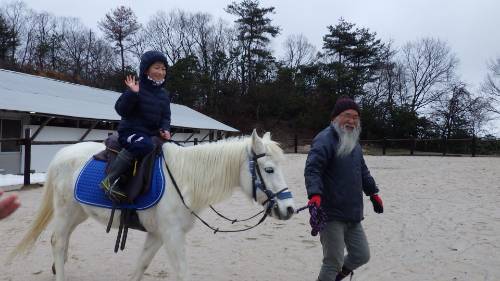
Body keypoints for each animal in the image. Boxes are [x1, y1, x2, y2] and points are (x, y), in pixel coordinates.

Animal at [9, 131, 294, 280]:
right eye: (269, 169)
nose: (290, 209)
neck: (184, 178)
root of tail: (62, 154)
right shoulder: (172, 235)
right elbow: (182, 273)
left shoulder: (158, 235)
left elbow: (140, 267)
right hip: (66, 211)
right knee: (58, 242)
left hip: (79, 212)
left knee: (63, 242)